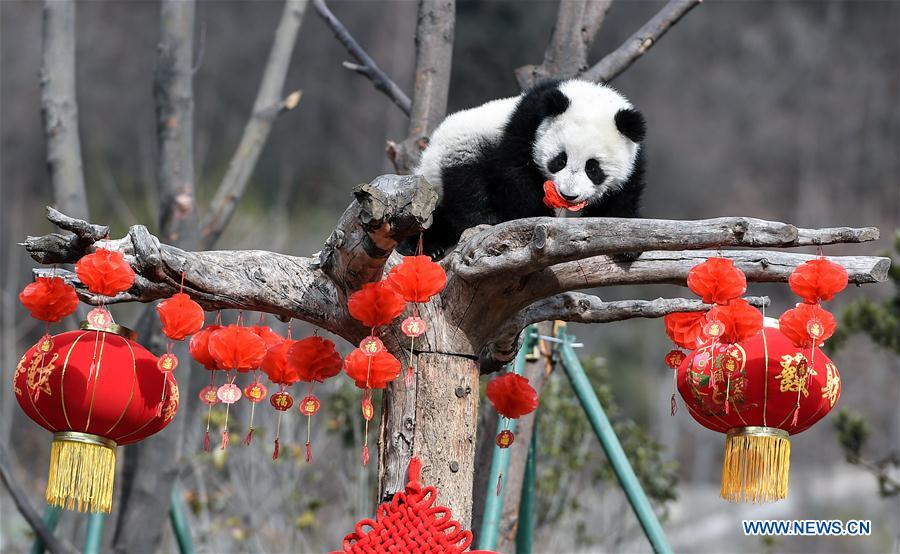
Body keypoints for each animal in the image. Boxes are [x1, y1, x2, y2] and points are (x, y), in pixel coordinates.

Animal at [402, 79, 646, 258]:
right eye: (560, 160)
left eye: (593, 169)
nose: (568, 195)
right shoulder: (525, 127)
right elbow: (515, 176)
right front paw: (536, 219)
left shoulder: (633, 160)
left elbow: (621, 199)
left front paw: (626, 246)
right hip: (459, 150)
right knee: (463, 190)